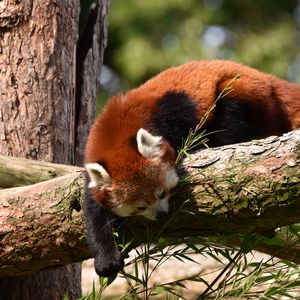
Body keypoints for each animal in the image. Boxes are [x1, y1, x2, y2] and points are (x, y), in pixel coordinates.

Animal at [84, 59, 300, 278]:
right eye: (140, 207)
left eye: (162, 193)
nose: (161, 214)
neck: (115, 132)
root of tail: (268, 79)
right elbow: (95, 215)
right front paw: (105, 259)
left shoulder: (173, 111)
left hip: (242, 92)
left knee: (231, 116)